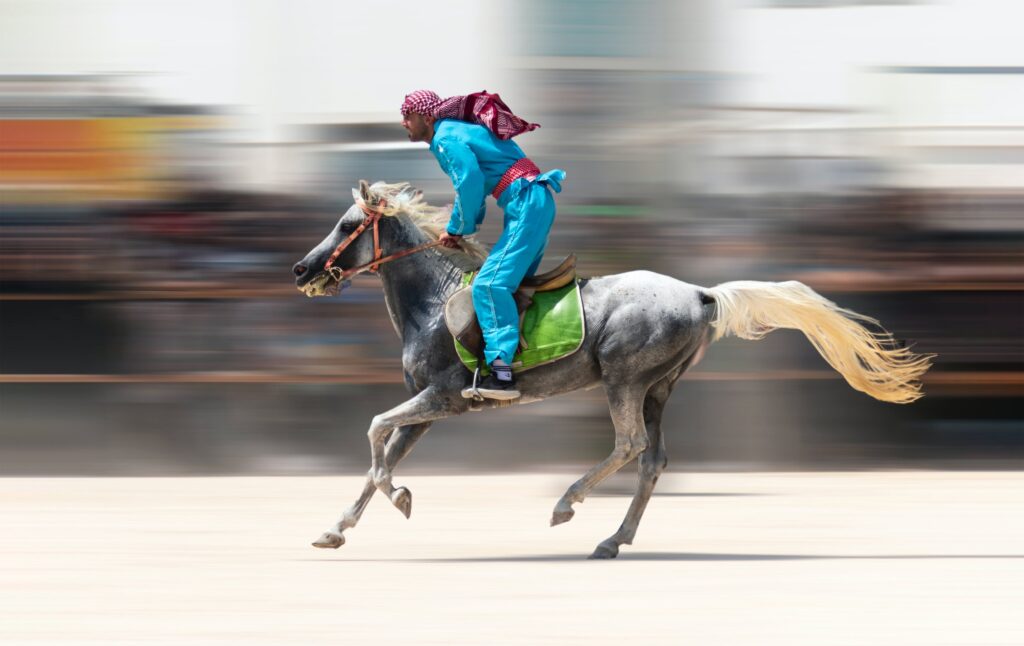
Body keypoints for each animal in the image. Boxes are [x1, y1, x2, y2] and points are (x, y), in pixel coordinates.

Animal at [292, 182, 933, 561]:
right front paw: (337, 528)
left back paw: (567, 505)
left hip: (624, 379)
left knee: (629, 445)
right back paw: (613, 539)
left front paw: (399, 497)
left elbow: (375, 431)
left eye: (347, 224)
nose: (301, 269)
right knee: (653, 459)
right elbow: (379, 455)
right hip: (658, 387)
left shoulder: (444, 399)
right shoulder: (427, 410)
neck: (432, 303)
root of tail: (699, 292)